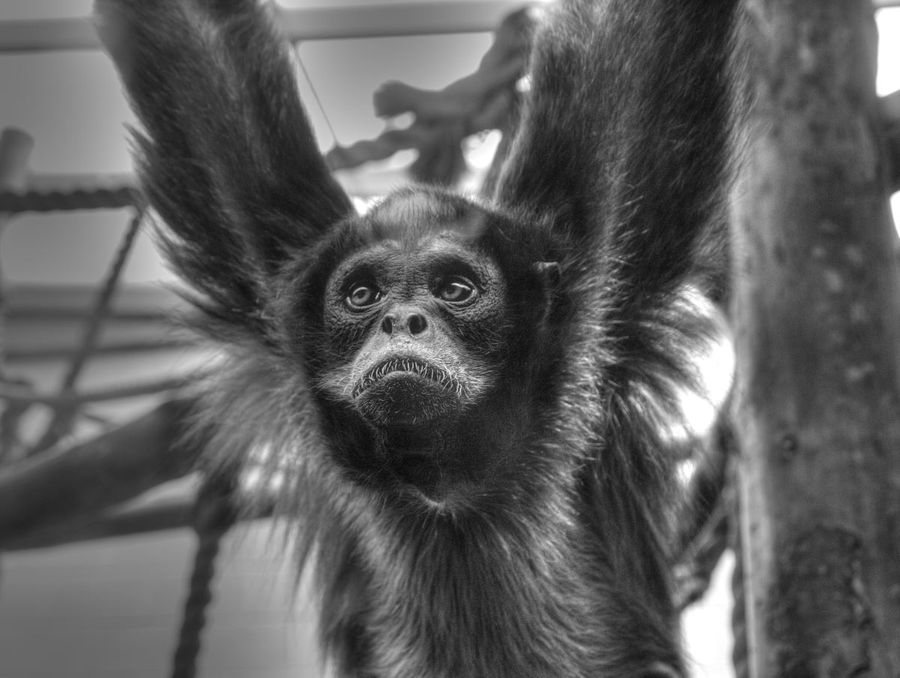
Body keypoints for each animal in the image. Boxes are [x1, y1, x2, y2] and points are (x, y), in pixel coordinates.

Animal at [94, 0, 738, 676]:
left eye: (455, 289)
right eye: (362, 296)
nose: (401, 320)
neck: (446, 487)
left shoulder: (593, 287)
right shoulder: (276, 278)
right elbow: (201, 47)